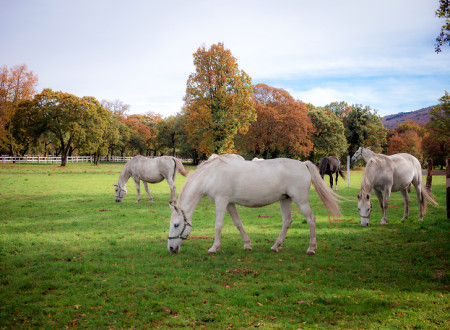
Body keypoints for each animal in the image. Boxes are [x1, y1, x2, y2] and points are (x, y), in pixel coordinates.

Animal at [168, 157, 342, 255]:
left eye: (176, 225)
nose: (170, 248)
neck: (211, 175)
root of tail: (303, 164)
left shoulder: (221, 201)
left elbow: (218, 225)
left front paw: (213, 248)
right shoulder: (230, 203)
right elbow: (238, 223)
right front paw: (247, 244)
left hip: (301, 201)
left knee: (311, 219)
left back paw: (311, 248)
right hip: (285, 200)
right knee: (287, 221)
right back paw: (275, 246)